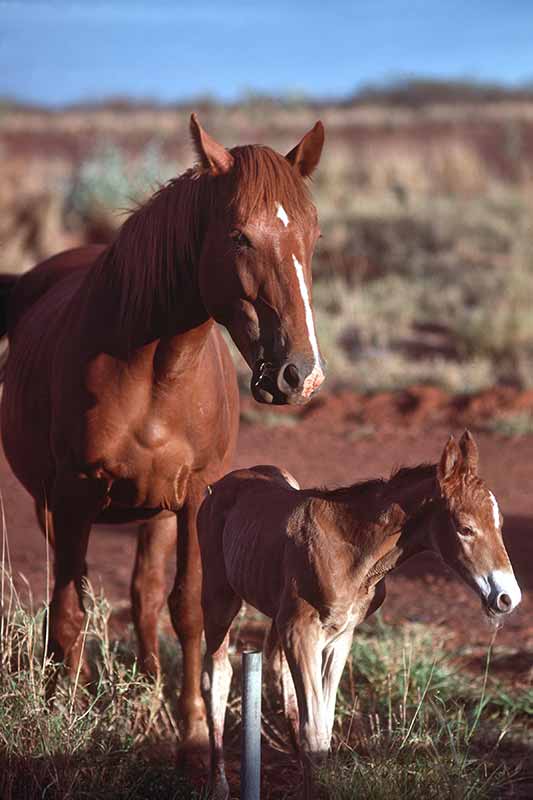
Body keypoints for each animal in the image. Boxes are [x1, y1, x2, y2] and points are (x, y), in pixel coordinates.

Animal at [0, 115, 324, 760]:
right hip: (52, 505)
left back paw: (149, 691)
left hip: (155, 514)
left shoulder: (195, 497)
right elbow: (69, 610)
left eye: (314, 234)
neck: (155, 372)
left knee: (146, 598)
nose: (298, 374)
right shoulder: (71, 496)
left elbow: (187, 609)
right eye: (238, 237)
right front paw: (59, 714)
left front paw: (192, 727)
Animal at [198, 434, 520, 796]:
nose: (507, 597)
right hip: (220, 598)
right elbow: (314, 732)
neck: (352, 552)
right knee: (217, 675)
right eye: (465, 528)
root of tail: (220, 485)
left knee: (277, 674)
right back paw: (219, 785)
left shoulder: (339, 637)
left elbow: (322, 727)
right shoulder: (300, 631)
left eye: (499, 523)